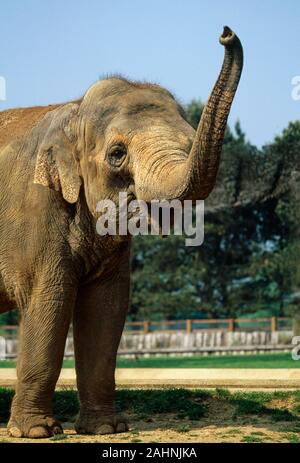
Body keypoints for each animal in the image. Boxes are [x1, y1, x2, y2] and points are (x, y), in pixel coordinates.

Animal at [0, 26, 243, 438]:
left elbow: (107, 306)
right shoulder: (34, 212)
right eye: (116, 154)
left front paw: (106, 429)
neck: (72, 108)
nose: (225, 33)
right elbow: (49, 299)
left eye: (188, 141)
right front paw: (36, 433)